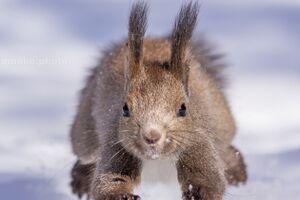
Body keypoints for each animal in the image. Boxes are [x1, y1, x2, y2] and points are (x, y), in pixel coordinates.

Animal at [69, 1, 247, 200]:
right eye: (125, 108)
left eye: (183, 108)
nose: (151, 136)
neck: (157, 159)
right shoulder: (115, 146)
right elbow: (109, 182)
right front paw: (122, 196)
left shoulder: (198, 142)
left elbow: (209, 178)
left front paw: (198, 193)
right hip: (84, 134)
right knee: (85, 156)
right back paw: (80, 180)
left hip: (221, 123)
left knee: (226, 149)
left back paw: (237, 172)